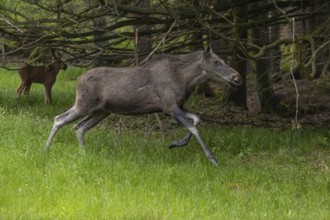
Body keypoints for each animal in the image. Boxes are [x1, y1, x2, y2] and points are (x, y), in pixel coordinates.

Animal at [46, 47, 241, 165]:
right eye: (216, 61)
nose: (237, 77)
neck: (186, 79)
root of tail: (78, 79)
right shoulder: (170, 106)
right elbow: (193, 127)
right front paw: (212, 159)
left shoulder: (175, 106)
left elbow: (197, 119)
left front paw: (176, 143)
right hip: (84, 105)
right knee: (59, 119)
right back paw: (46, 149)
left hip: (101, 111)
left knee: (79, 127)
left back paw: (84, 153)